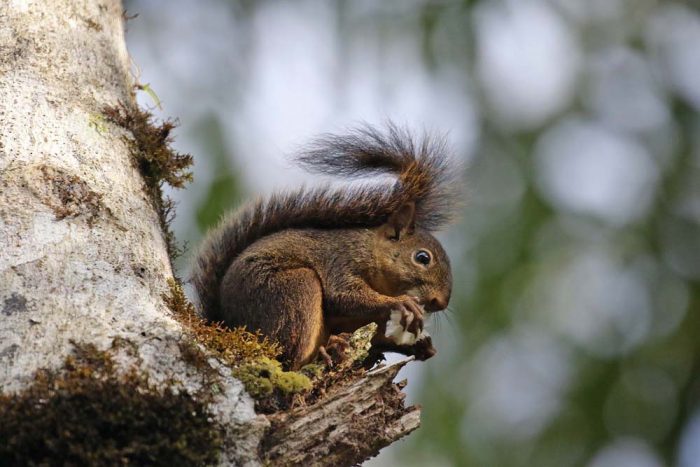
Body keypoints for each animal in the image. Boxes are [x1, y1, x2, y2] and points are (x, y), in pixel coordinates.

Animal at [190, 125, 460, 370]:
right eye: (422, 257)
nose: (440, 302)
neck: (370, 251)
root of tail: (229, 325)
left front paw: (419, 346)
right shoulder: (340, 260)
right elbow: (344, 295)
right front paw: (399, 302)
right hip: (292, 292)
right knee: (289, 358)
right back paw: (325, 350)